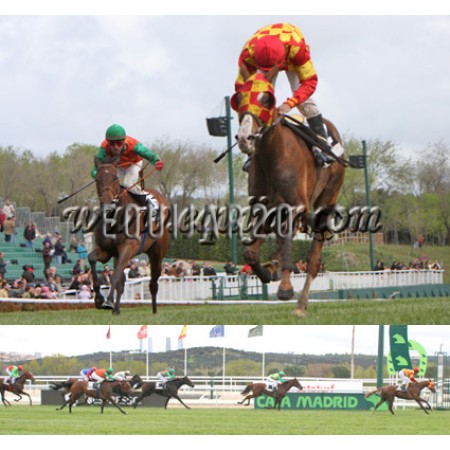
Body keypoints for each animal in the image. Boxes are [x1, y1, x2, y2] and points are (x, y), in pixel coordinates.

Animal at [88, 159, 170, 315]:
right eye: (97, 179)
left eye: (115, 178)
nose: (108, 202)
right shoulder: (106, 250)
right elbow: (92, 259)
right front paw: (99, 299)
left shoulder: (128, 247)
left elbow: (115, 276)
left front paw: (108, 301)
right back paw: (117, 309)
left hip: (157, 253)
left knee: (153, 282)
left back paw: (154, 311)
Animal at [231, 67, 346, 317]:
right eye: (238, 98)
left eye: (266, 100)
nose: (245, 138)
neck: (272, 155)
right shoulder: (262, 209)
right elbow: (250, 253)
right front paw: (267, 271)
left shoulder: (298, 206)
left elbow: (286, 240)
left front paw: (284, 287)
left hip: (327, 199)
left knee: (313, 261)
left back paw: (301, 304)